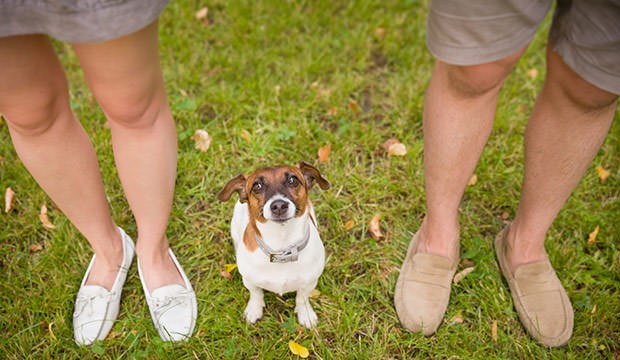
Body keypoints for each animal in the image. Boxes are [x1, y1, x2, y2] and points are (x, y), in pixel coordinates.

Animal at [220, 162, 332, 328]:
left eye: (293, 180)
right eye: (257, 186)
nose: (279, 205)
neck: (282, 247)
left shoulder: (309, 282)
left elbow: (302, 298)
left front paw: (305, 314)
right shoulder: (250, 281)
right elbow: (256, 294)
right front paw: (254, 309)